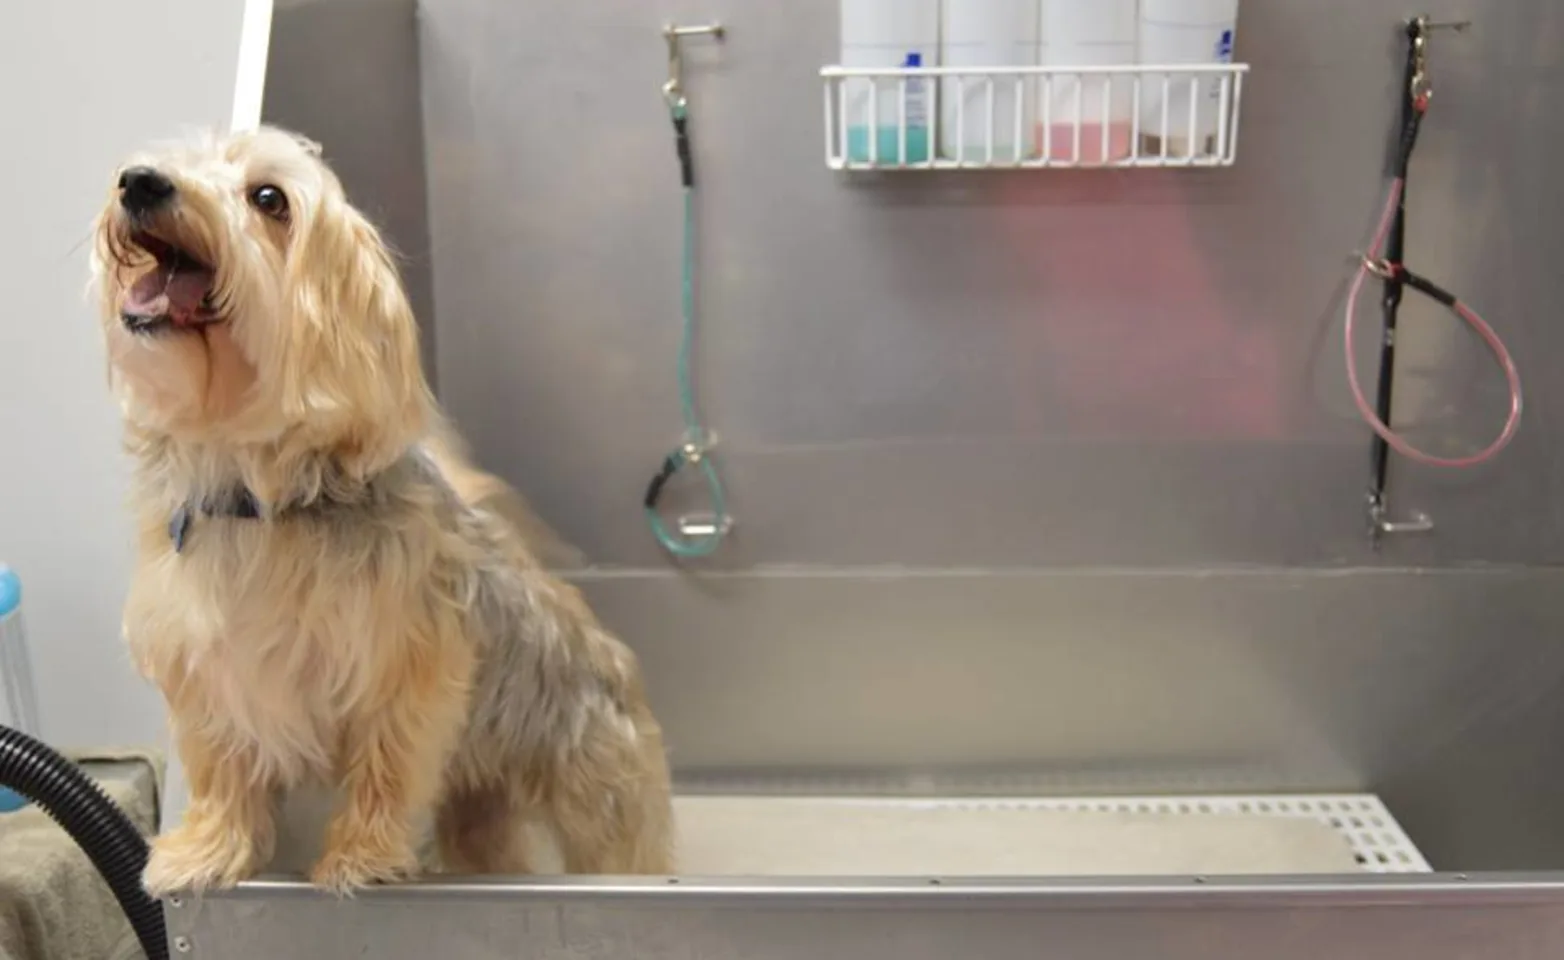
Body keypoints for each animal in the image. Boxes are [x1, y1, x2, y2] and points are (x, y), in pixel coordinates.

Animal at [85, 125, 672, 894]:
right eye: (168, 158)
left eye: (269, 199)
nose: (140, 182)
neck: (259, 501)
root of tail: (613, 654)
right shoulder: (209, 672)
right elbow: (223, 769)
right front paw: (209, 849)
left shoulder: (408, 670)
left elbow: (387, 766)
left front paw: (360, 855)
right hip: (479, 807)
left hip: (602, 807)